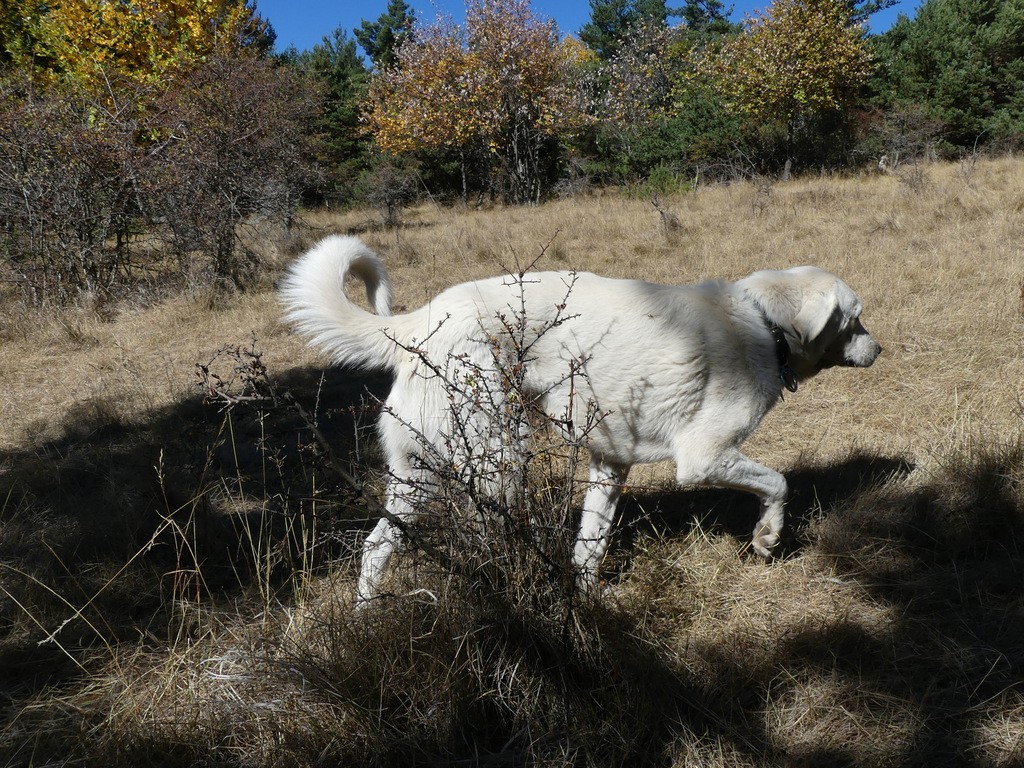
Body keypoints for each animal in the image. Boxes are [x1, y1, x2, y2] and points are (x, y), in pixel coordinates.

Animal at [280, 236, 880, 606]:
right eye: (854, 319)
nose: (880, 349)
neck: (764, 321)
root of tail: (424, 318)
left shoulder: (610, 464)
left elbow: (589, 547)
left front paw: (591, 605)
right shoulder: (703, 458)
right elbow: (779, 484)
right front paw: (767, 538)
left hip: (417, 478)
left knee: (375, 547)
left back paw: (365, 618)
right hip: (500, 462)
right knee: (487, 542)